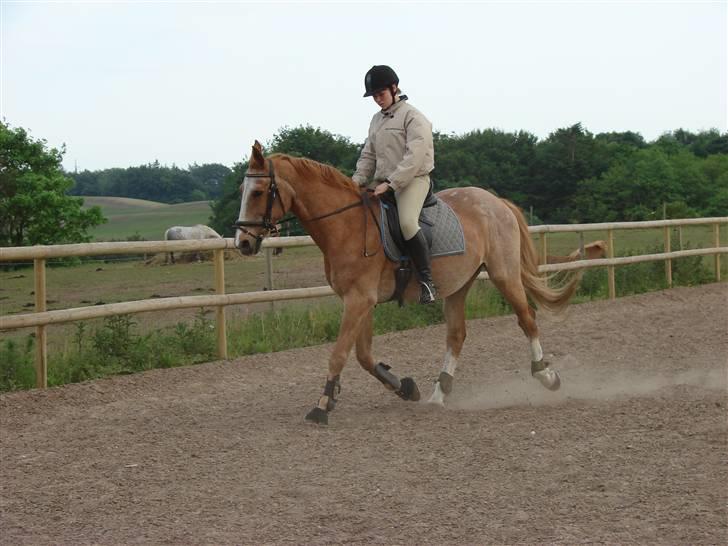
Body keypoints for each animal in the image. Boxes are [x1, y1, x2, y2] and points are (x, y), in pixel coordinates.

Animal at [236, 141, 576, 424]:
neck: (345, 225)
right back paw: (438, 395)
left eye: (258, 192)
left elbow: (340, 353)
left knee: (527, 319)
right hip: (458, 285)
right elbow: (363, 356)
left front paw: (321, 406)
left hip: (503, 273)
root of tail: (496, 201)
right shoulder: (361, 301)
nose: (243, 243)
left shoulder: (359, 300)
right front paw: (405, 388)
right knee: (457, 335)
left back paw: (547, 376)